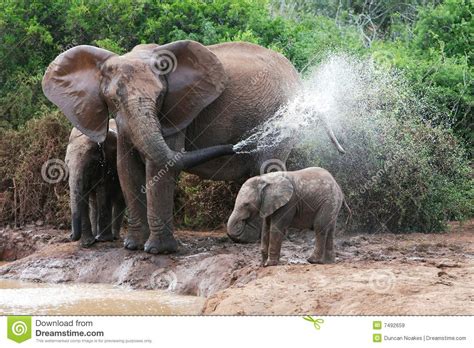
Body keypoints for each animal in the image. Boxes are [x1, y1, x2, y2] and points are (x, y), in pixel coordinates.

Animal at [66, 119, 127, 247]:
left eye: (90, 165)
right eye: (67, 165)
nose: (70, 236)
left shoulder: (107, 163)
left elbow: (103, 192)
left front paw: (103, 240)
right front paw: (87, 244)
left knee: (119, 199)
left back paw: (113, 237)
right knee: (94, 202)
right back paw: (95, 236)